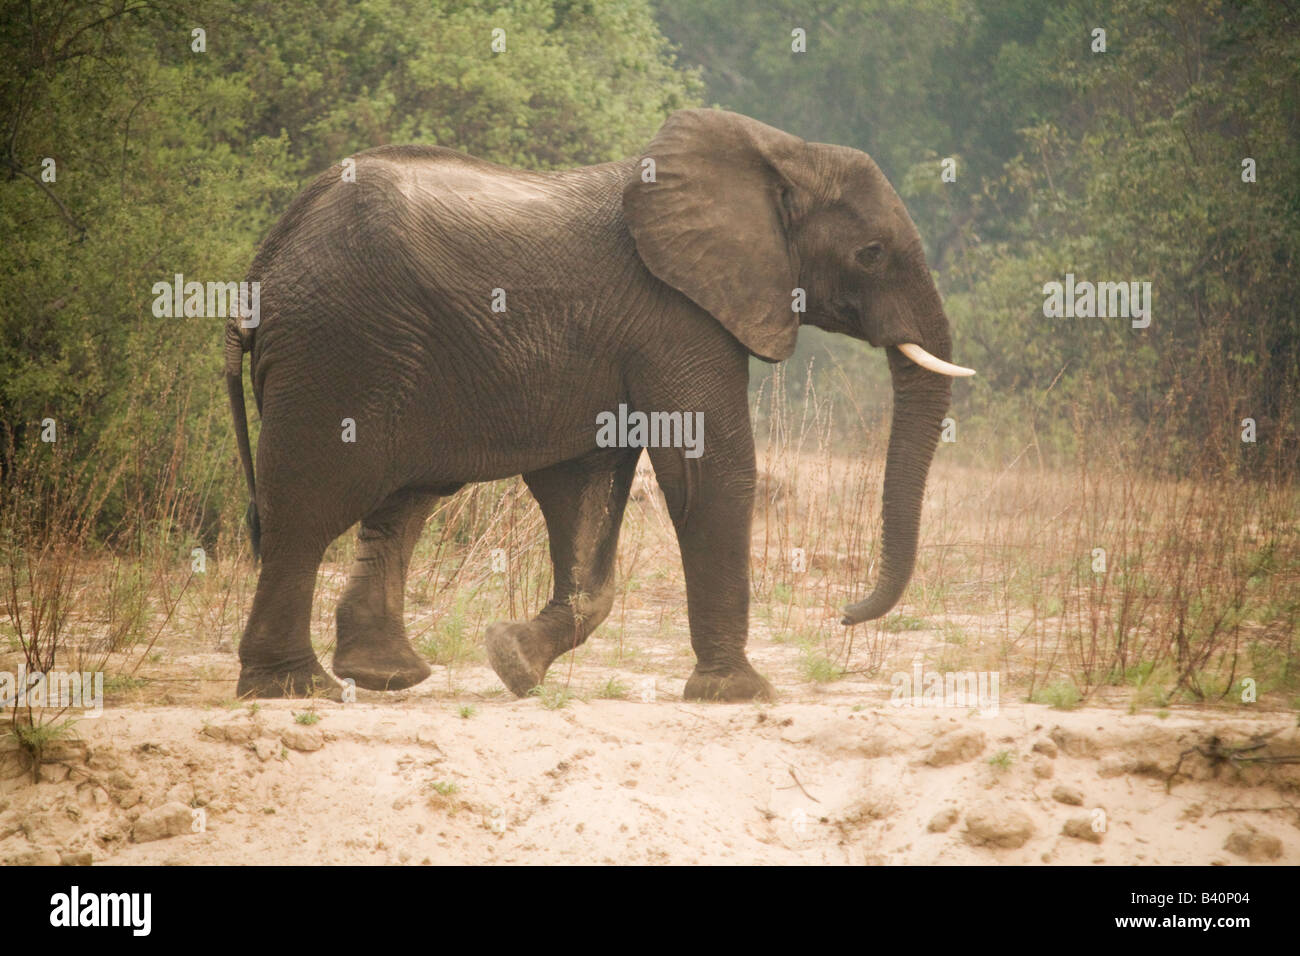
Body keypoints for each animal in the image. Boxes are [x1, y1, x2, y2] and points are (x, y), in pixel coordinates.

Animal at [225, 108, 974, 702]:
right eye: (871, 253)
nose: (845, 614)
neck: (778, 151)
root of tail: (263, 262)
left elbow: (584, 488)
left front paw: (513, 660)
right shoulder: (676, 311)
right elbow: (712, 470)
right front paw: (739, 693)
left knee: (400, 504)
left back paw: (386, 677)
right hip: (341, 347)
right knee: (309, 505)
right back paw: (296, 687)